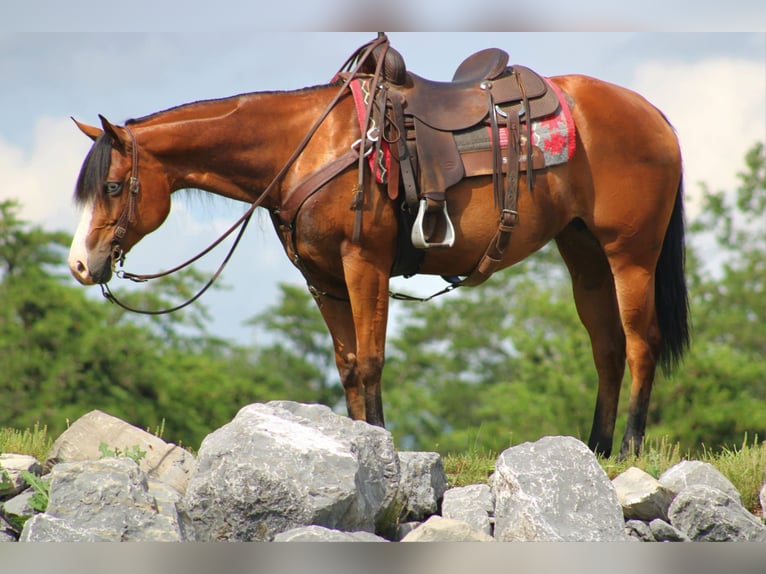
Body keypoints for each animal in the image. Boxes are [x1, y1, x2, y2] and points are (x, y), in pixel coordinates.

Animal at [67, 37, 689, 458]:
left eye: (113, 187)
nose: (79, 264)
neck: (310, 146)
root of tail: (653, 115)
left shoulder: (363, 262)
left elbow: (370, 360)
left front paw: (380, 443)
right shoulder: (321, 279)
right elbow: (347, 366)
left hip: (631, 253)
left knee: (641, 343)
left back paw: (629, 448)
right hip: (583, 253)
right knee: (607, 348)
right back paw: (597, 447)